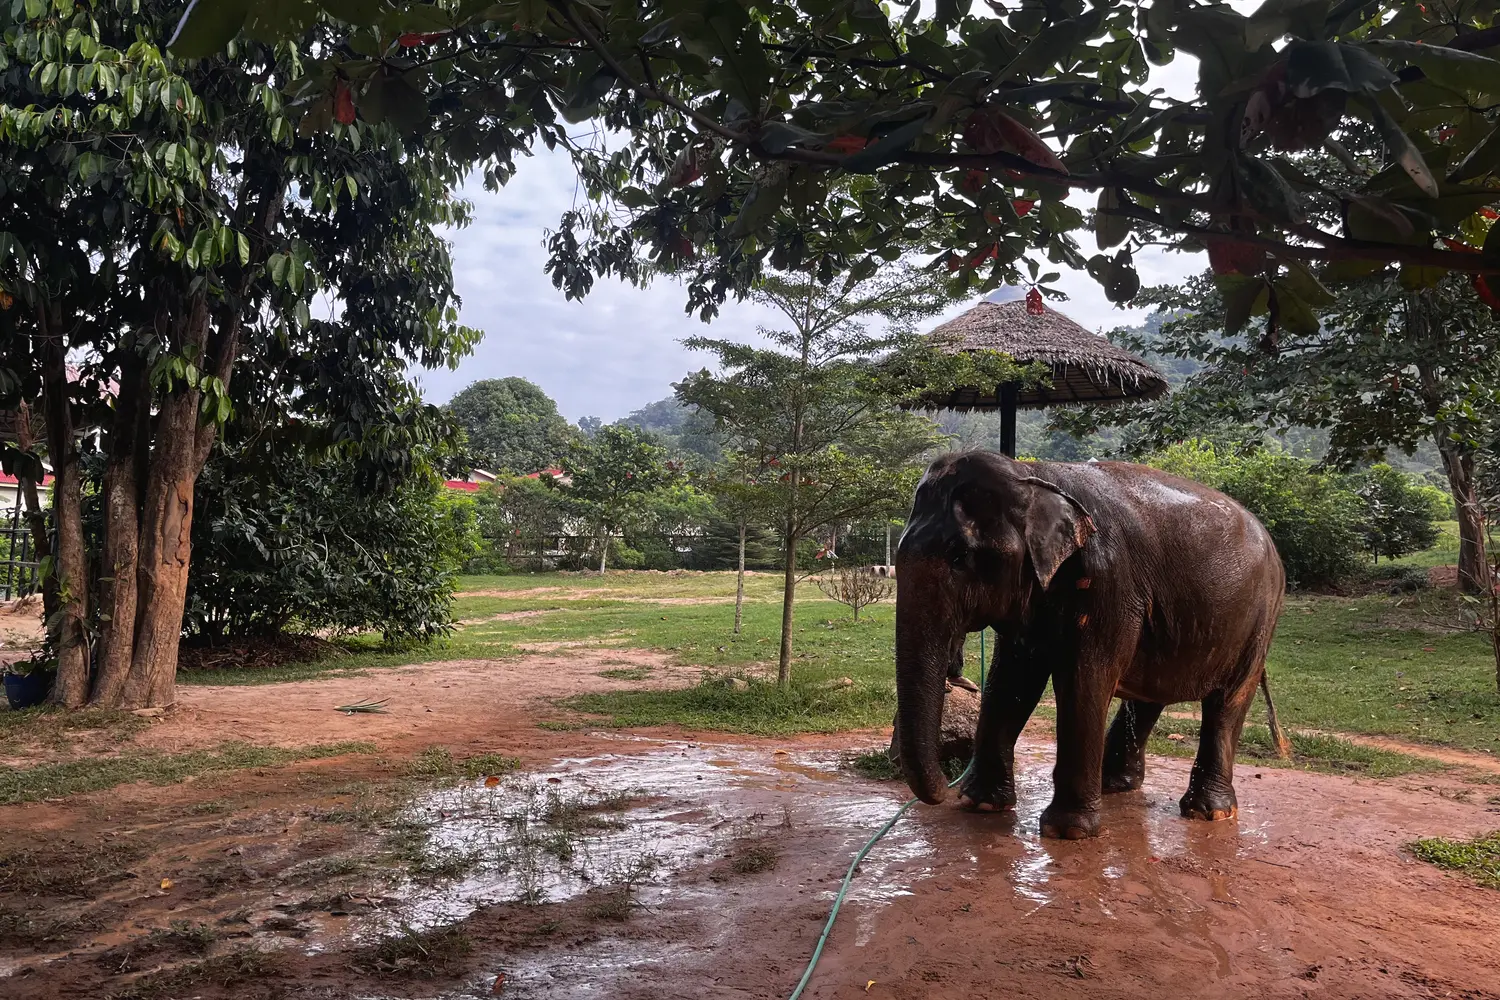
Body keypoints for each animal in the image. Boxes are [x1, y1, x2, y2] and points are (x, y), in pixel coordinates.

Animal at [893, 451, 1285, 840]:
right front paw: (981, 804)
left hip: (1260, 619)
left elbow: (1084, 680)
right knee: (1150, 693)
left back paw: (1209, 812)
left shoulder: (1108, 583)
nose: (945, 791)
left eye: (960, 557)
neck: (1033, 474)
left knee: (1228, 700)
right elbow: (1010, 683)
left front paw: (1068, 831)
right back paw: (1115, 784)